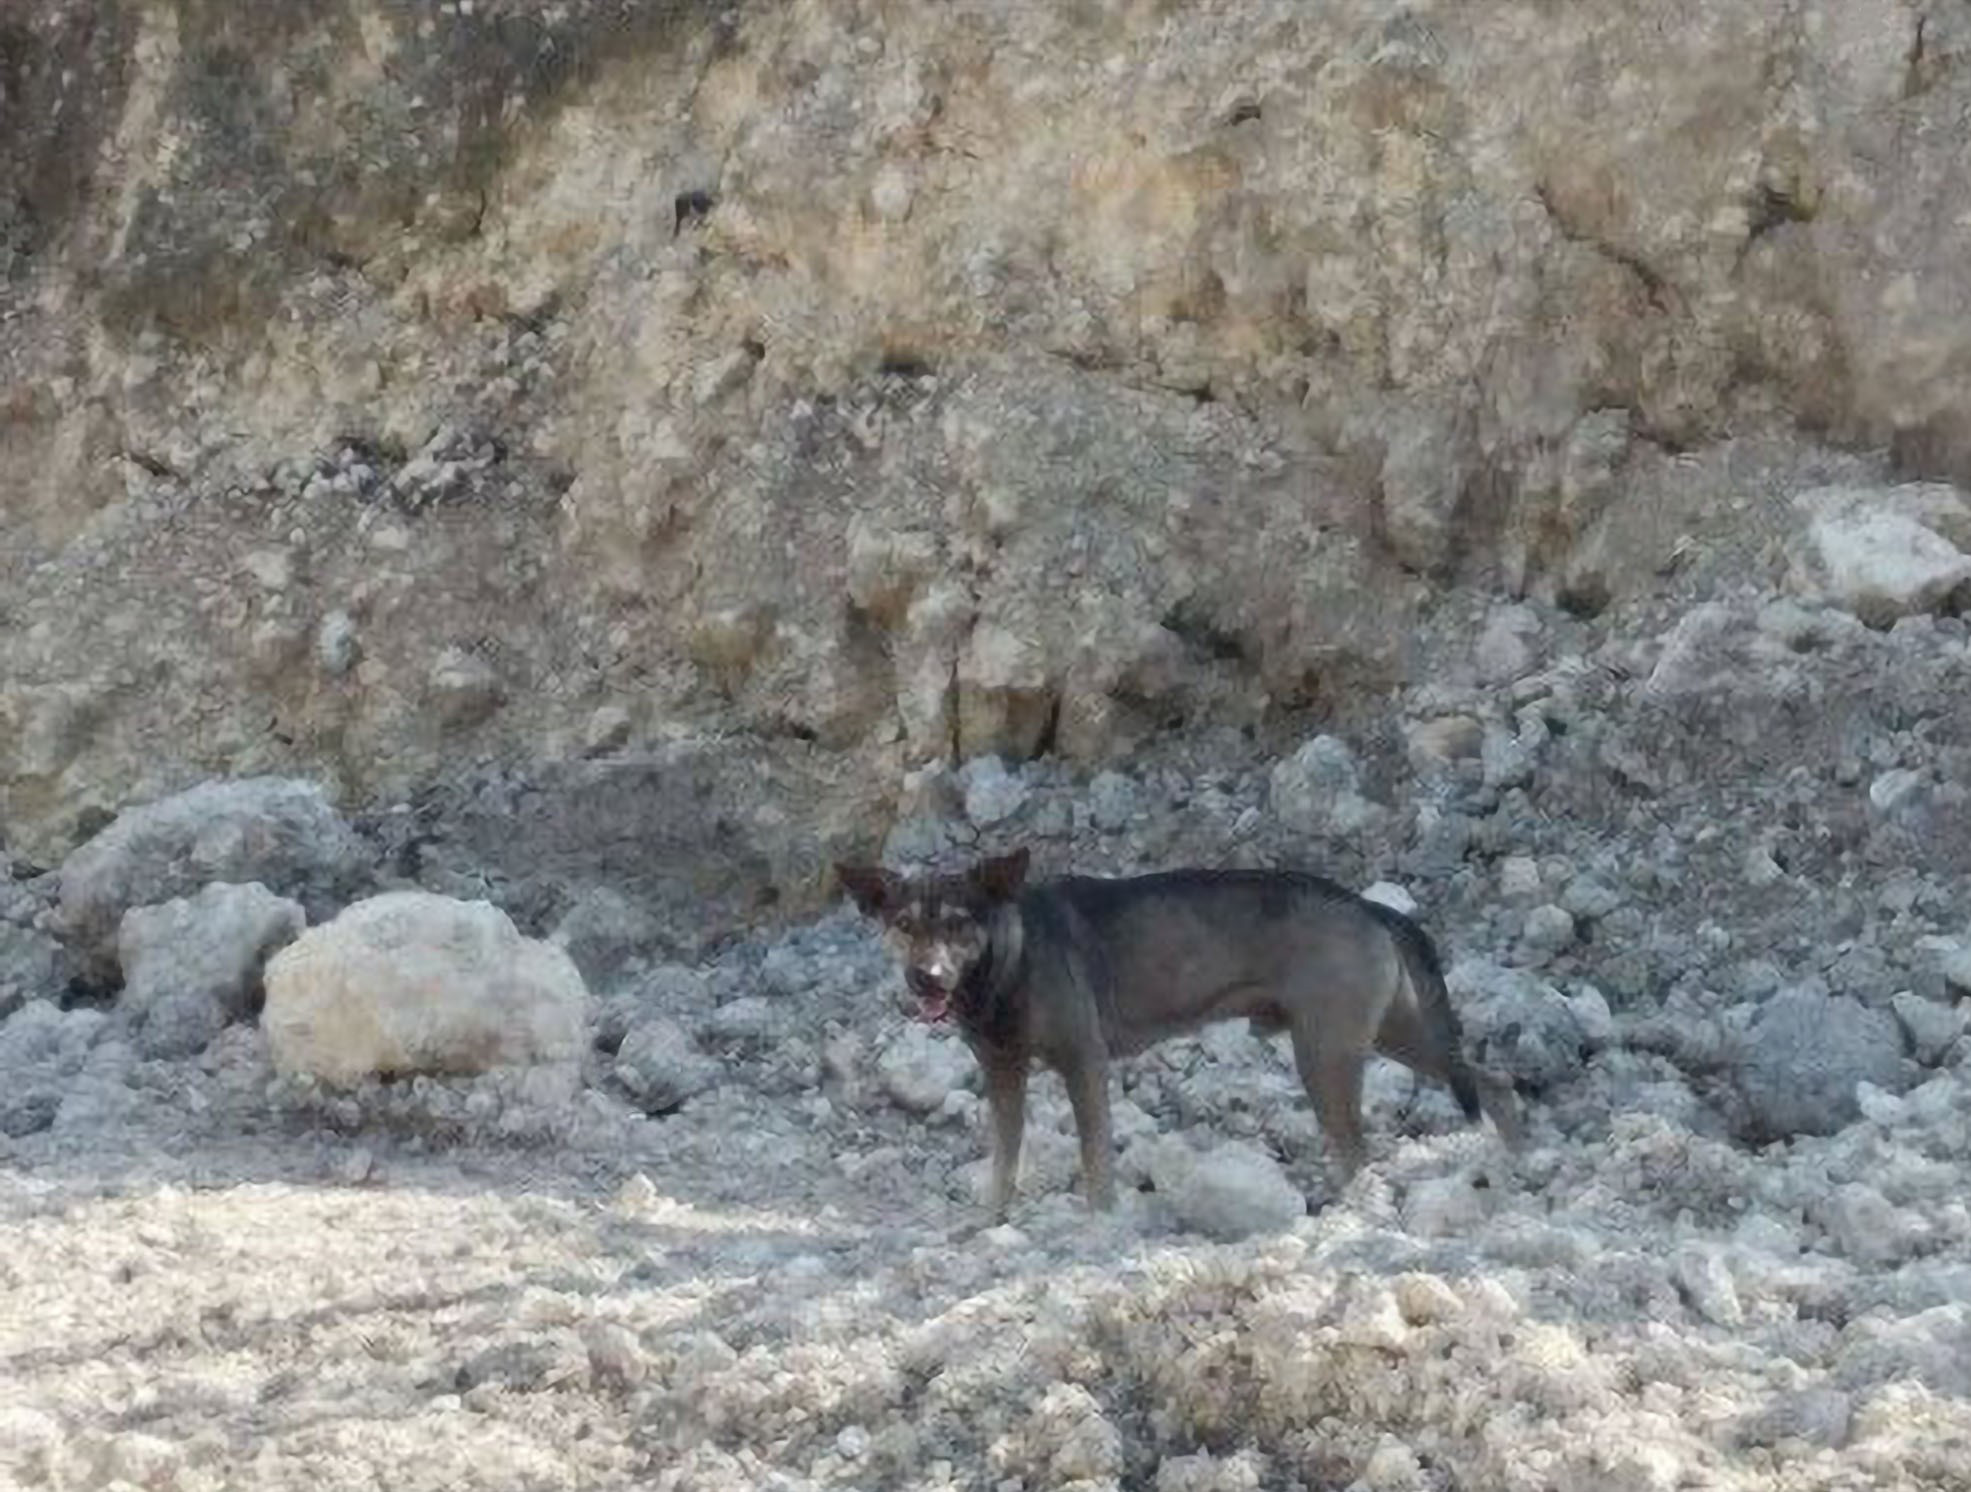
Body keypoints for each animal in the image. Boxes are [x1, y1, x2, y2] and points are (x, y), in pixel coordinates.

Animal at [831, 843, 1521, 1214]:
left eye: (957, 923)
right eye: (904, 926)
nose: (925, 979)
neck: (1008, 958)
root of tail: (1369, 905)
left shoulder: (1083, 1062)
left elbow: (1095, 1158)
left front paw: (1100, 1221)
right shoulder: (1002, 1072)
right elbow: (1004, 1157)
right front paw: (991, 1219)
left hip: (1326, 1054)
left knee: (1358, 1150)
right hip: (1393, 1032)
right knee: (1493, 1080)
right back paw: (1513, 1159)